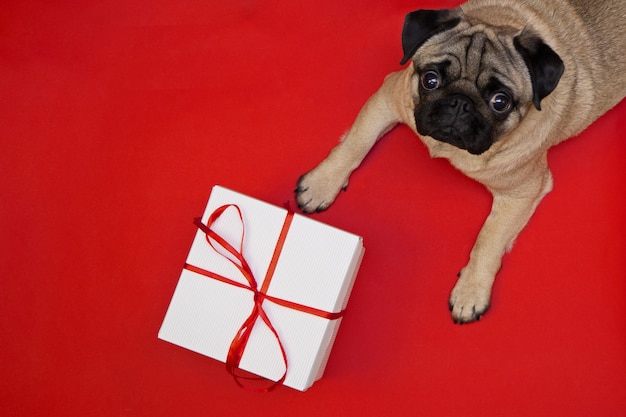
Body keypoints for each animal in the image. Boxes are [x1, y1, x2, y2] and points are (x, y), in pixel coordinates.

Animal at [294, 0, 624, 324]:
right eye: (430, 80)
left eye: (500, 102)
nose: (460, 103)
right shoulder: (388, 97)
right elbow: (355, 143)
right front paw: (321, 184)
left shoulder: (521, 193)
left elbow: (488, 240)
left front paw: (471, 291)